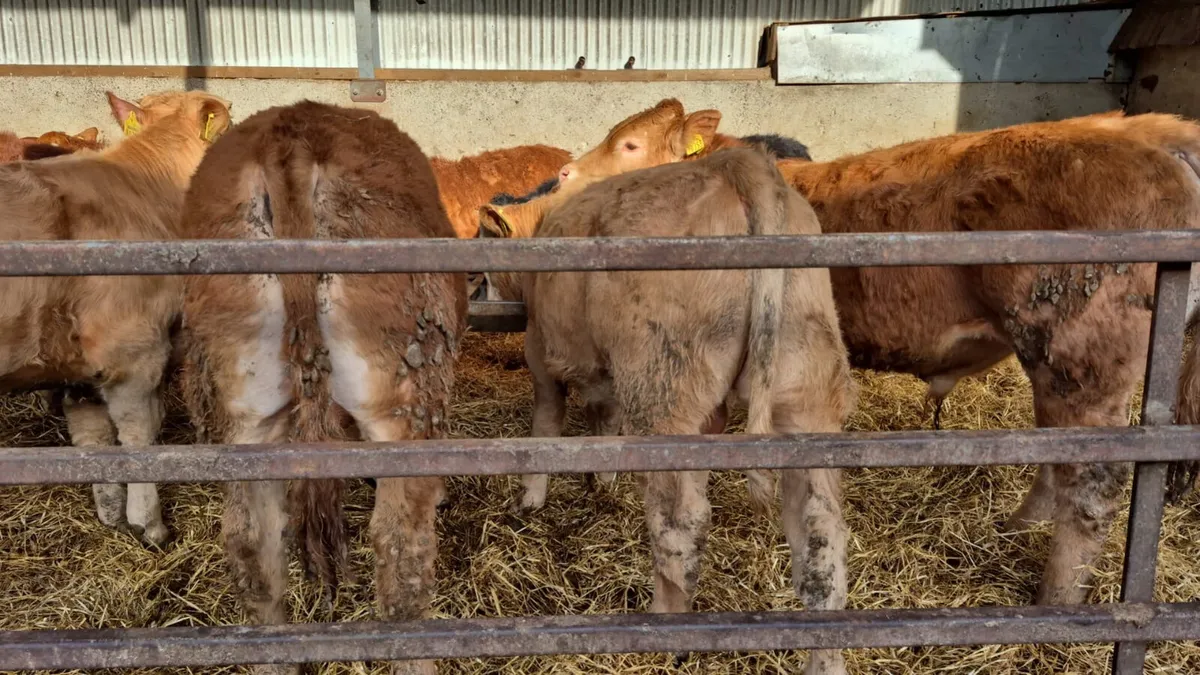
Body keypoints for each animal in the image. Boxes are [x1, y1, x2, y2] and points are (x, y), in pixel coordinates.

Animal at [0, 90, 232, 547]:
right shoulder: (133, 350)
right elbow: (139, 436)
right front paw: (149, 524)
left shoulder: (76, 366)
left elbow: (93, 437)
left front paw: (110, 513)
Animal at [479, 98, 1200, 607]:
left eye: (628, 143)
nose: (564, 174)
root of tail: (1155, 138)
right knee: (1058, 453)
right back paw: (1018, 528)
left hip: (1082, 350)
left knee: (1092, 485)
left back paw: (1054, 598)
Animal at [482, 145, 854, 675]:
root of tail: (737, 164)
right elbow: (604, 418)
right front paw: (601, 482)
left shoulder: (541, 349)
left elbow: (546, 423)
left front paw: (532, 498)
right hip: (806, 387)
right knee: (821, 535)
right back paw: (825, 658)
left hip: (666, 385)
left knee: (681, 523)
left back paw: (663, 626)